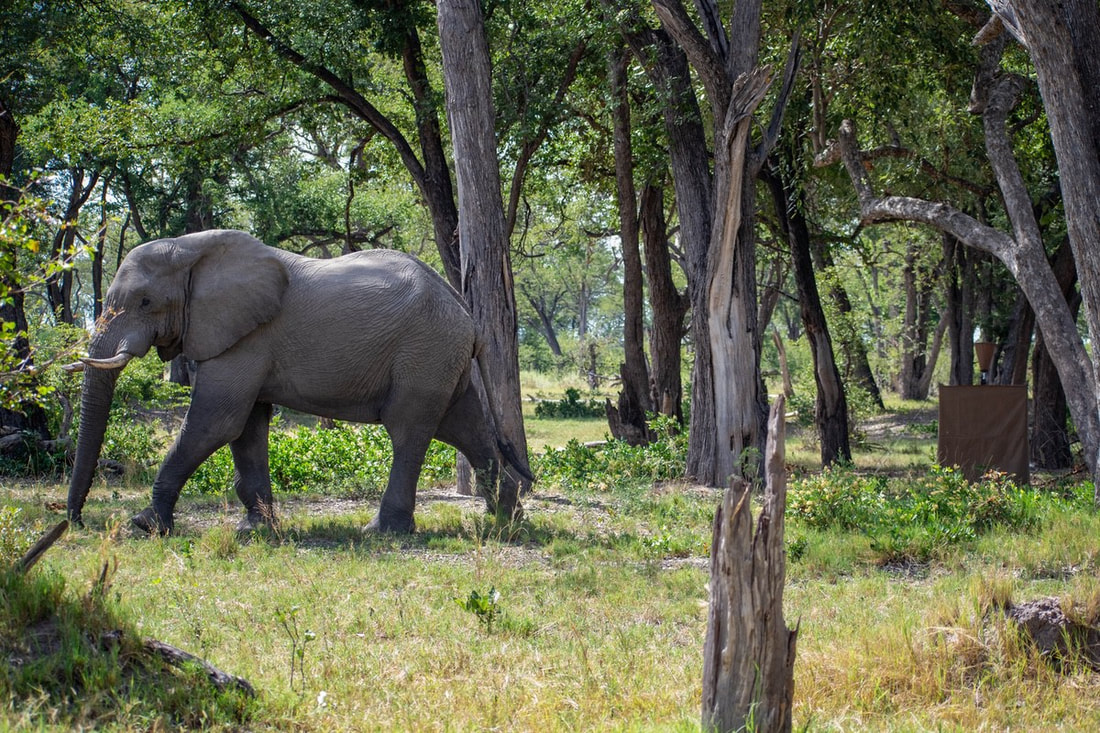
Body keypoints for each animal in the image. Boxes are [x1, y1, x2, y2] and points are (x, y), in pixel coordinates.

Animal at [63, 229, 531, 535]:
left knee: (408, 431)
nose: (77, 523)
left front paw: (144, 525)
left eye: (145, 302)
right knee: (465, 427)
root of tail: (465, 311)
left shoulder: (246, 339)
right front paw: (256, 530)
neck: (193, 248)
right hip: (442, 358)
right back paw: (505, 521)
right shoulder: (243, 340)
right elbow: (247, 427)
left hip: (425, 352)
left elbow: (216, 423)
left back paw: (382, 532)